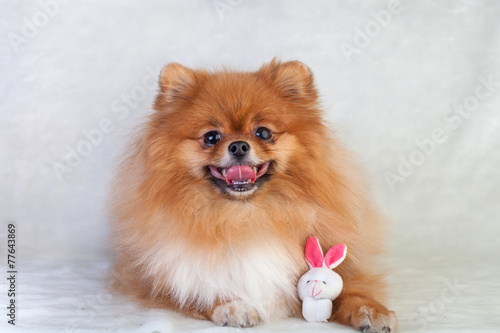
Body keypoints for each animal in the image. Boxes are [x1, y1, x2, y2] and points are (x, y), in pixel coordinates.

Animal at [110, 58, 398, 330]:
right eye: (211, 137)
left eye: (263, 132)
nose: (238, 145)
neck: (246, 214)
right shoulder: (163, 275)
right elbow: (200, 288)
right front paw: (231, 306)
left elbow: (352, 289)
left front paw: (372, 311)